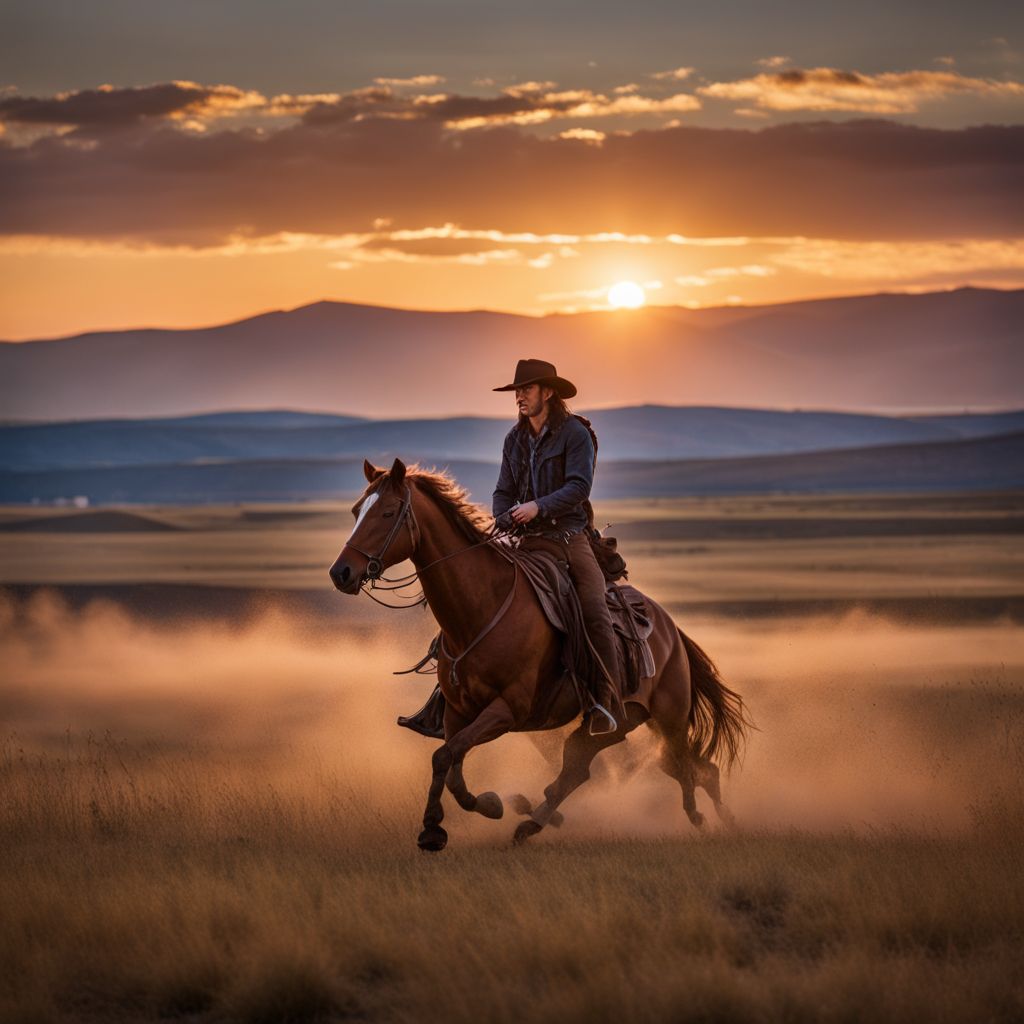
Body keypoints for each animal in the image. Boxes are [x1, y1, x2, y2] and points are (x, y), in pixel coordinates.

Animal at [329, 456, 753, 847]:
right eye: (356, 510)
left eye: (387, 512)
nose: (341, 573)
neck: (480, 609)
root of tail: (671, 629)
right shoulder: (457, 713)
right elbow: (449, 765)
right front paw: (481, 808)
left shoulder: (507, 709)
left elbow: (446, 757)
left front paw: (443, 825)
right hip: (622, 721)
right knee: (594, 767)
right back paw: (534, 821)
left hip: (669, 717)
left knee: (689, 767)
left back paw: (706, 818)